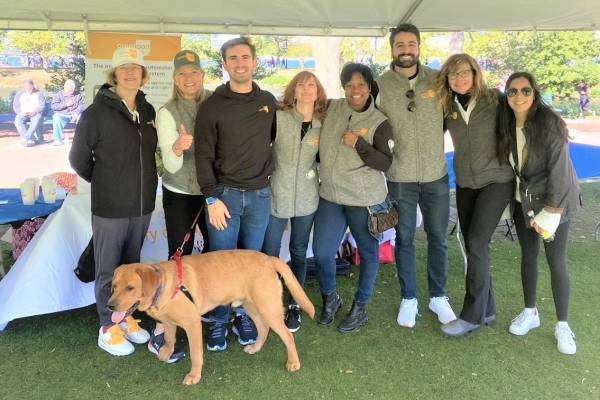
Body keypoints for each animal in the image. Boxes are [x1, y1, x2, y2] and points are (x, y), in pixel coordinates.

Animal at [108, 250, 316, 384]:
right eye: (114, 286)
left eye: (130, 288)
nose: (109, 306)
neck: (164, 286)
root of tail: (268, 257)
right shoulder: (167, 320)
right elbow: (169, 337)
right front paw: (167, 351)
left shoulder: (192, 323)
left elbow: (195, 354)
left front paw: (194, 375)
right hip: (251, 305)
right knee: (263, 327)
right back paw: (255, 348)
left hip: (268, 307)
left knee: (287, 336)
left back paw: (293, 362)